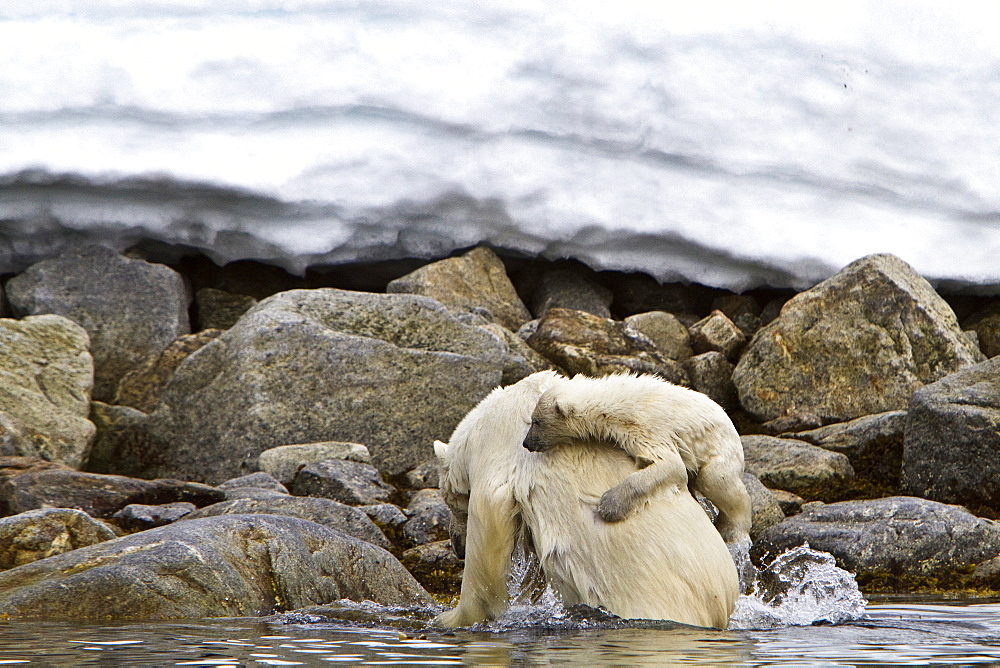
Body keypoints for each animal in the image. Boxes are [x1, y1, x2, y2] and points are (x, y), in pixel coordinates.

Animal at [524, 370, 752, 548]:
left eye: (536, 421)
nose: (527, 443)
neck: (614, 401)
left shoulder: (645, 427)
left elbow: (669, 465)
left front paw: (610, 505)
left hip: (720, 450)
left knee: (716, 480)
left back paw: (731, 530)